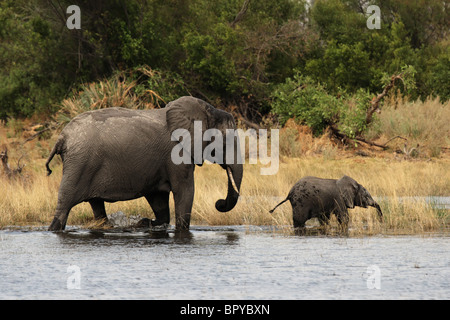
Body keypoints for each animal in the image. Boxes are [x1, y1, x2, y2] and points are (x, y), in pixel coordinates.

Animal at [45, 96, 243, 231]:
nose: (219, 203)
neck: (207, 110)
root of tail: (62, 137)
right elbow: (184, 191)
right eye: (226, 142)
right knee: (65, 205)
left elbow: (158, 199)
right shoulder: (177, 154)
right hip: (79, 164)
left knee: (96, 205)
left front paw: (144, 223)